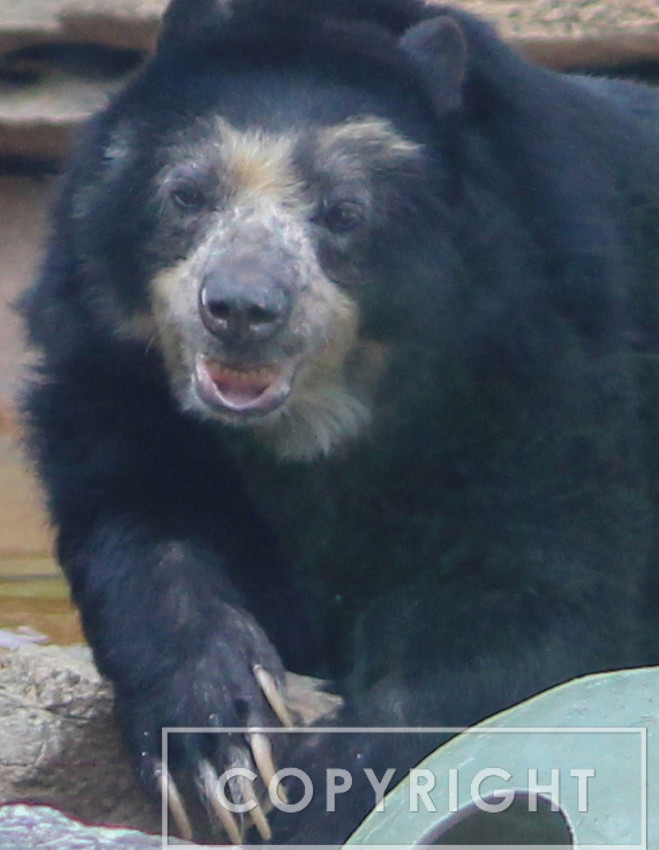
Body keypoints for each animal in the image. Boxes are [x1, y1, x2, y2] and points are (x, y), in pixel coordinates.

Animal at [21, 0, 659, 842]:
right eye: (187, 195)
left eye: (344, 213)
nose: (240, 309)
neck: (322, 419)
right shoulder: (114, 366)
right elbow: (135, 522)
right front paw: (217, 741)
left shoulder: (558, 374)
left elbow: (531, 599)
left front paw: (314, 792)